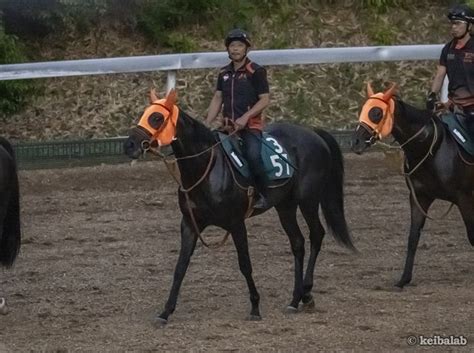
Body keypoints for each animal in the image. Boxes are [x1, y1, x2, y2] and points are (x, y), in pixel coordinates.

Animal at [124, 88, 354, 324]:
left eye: (157, 118)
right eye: (145, 114)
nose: (129, 145)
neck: (206, 169)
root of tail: (313, 133)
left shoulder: (236, 224)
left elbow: (245, 264)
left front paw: (255, 307)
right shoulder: (189, 224)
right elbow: (180, 267)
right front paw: (166, 311)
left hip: (308, 200)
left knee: (316, 234)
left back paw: (307, 293)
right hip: (285, 206)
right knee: (298, 243)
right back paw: (295, 299)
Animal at [352, 84, 474, 288]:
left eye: (376, 113)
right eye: (363, 109)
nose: (356, 142)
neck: (432, 147)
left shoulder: (464, 198)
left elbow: (471, 235)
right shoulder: (419, 198)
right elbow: (413, 237)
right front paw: (404, 279)